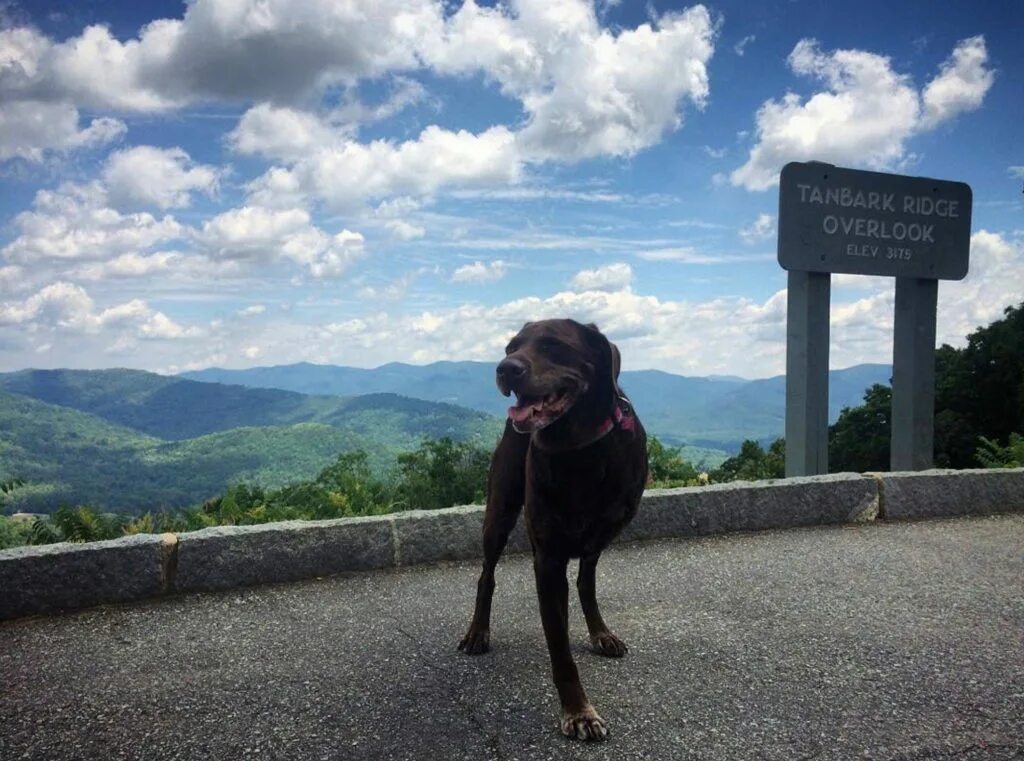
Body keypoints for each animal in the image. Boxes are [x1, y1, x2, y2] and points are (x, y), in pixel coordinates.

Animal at [458, 317, 643, 741]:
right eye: (511, 347)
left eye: (553, 345)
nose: (505, 368)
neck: (580, 448)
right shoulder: (547, 559)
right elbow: (559, 647)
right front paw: (578, 711)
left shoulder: (604, 527)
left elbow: (584, 582)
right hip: (500, 511)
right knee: (486, 574)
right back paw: (477, 632)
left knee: (586, 579)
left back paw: (600, 632)